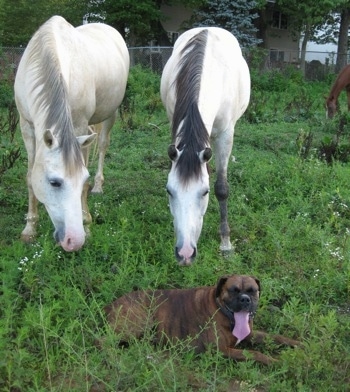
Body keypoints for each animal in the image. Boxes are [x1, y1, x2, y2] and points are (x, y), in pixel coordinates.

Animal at [14, 16, 130, 251]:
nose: (74, 241)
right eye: (54, 183)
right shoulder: (27, 126)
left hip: (110, 114)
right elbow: (30, 177)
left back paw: (98, 186)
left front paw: (86, 222)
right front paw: (29, 229)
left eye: (82, 177)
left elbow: (84, 182)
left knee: (102, 145)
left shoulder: (78, 126)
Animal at [104, 276, 298, 364]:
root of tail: (110, 305)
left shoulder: (249, 335)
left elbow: (276, 337)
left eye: (252, 290)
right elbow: (254, 353)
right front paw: (277, 362)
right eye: (233, 290)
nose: (244, 299)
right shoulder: (221, 350)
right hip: (137, 324)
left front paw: (298, 344)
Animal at [160, 27, 250, 264]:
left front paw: (226, 243)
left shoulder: (226, 134)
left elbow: (222, 188)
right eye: (170, 191)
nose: (185, 253)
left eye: (204, 192)